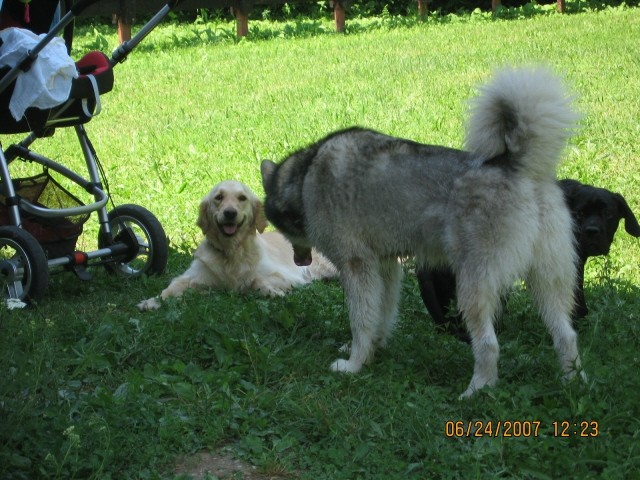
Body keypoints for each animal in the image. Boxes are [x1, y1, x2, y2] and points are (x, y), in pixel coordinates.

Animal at [258, 67, 584, 398]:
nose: (299, 261)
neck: (305, 177)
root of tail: (519, 167)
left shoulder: (357, 268)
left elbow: (361, 321)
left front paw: (354, 365)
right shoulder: (386, 268)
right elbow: (381, 316)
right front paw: (374, 350)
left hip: (472, 289)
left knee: (489, 345)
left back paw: (477, 390)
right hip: (549, 284)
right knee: (567, 335)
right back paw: (572, 382)